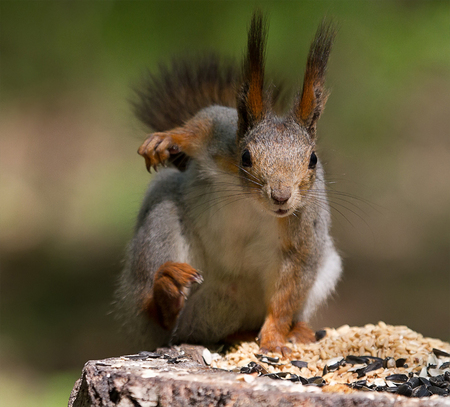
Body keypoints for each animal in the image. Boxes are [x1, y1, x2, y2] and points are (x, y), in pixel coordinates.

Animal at [115, 11, 342, 356]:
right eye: (246, 157)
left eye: (313, 159)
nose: (281, 196)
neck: (253, 203)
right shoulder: (220, 138)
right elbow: (201, 123)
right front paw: (166, 139)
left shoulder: (304, 228)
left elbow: (287, 293)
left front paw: (275, 338)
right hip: (158, 232)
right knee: (153, 309)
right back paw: (167, 289)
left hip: (325, 269)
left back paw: (294, 331)